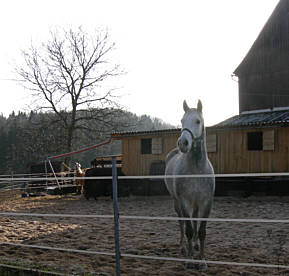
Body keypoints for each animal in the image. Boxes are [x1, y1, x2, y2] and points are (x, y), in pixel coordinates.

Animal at [164, 99, 214, 270]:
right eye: (182, 121)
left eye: (198, 121)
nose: (183, 143)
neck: (196, 170)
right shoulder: (185, 201)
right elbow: (190, 230)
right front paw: (190, 260)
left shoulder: (206, 202)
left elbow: (202, 230)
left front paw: (202, 260)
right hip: (177, 202)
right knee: (182, 223)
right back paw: (183, 247)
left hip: (196, 204)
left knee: (194, 220)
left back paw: (196, 246)